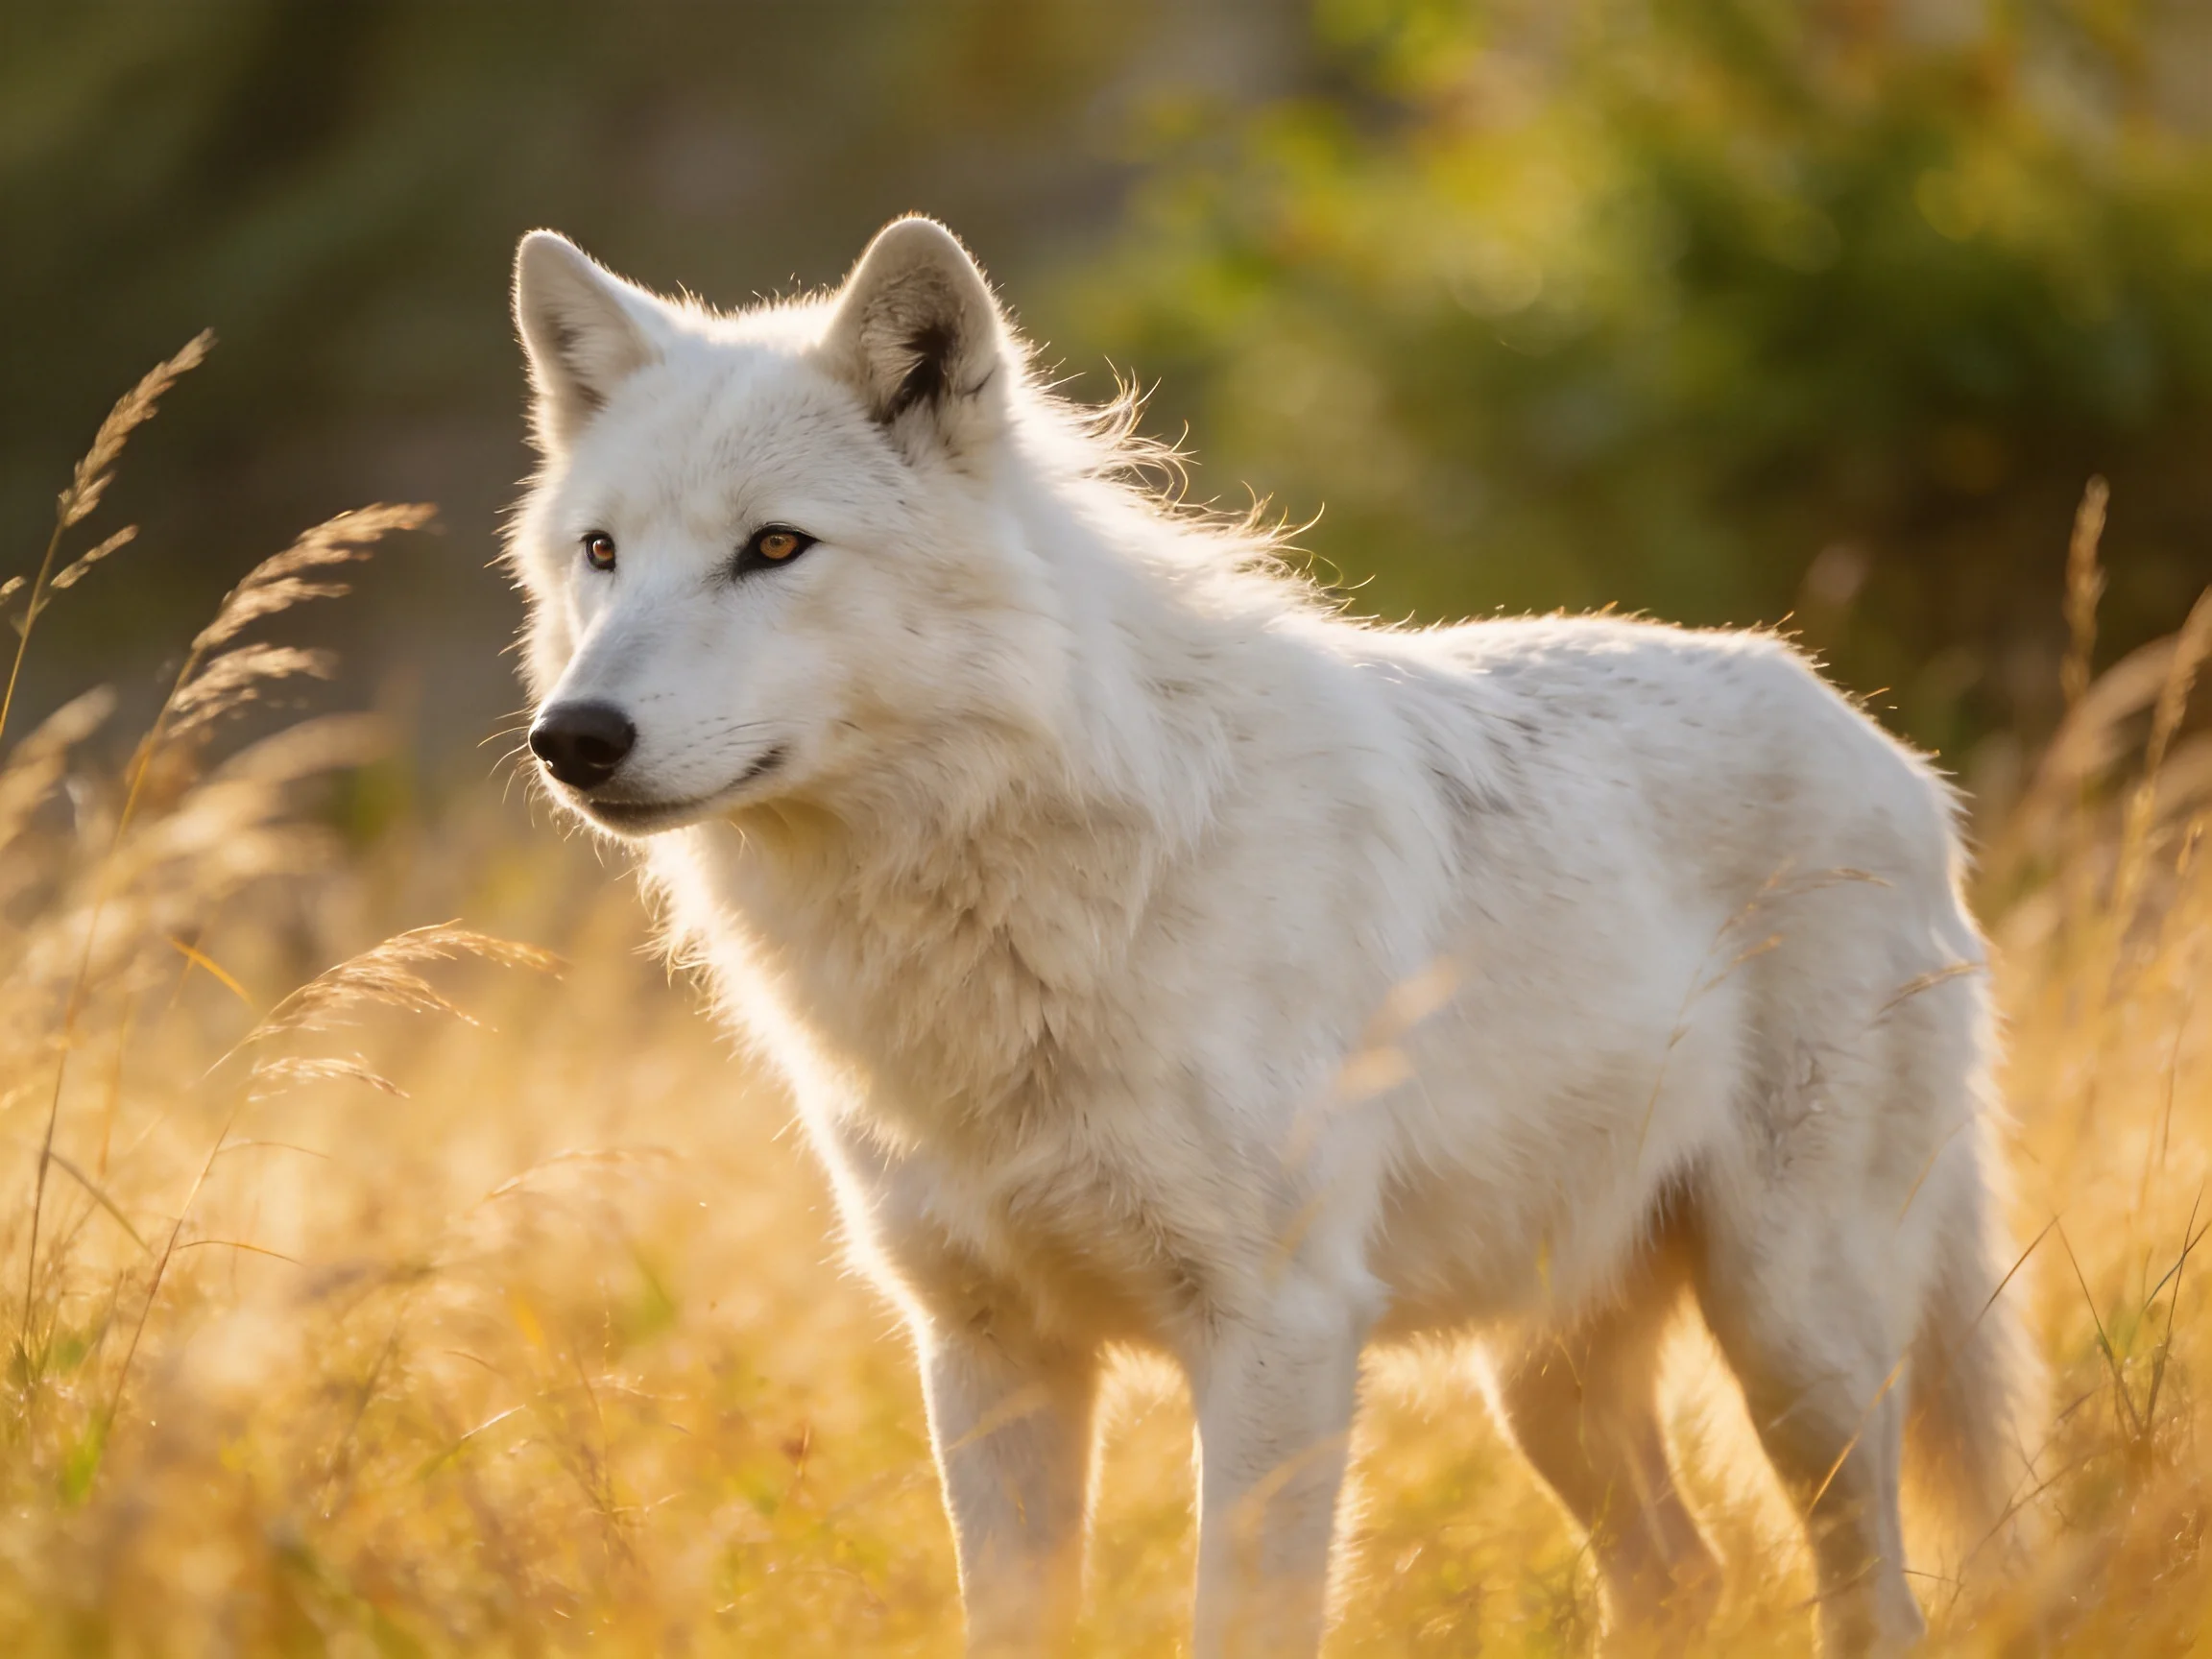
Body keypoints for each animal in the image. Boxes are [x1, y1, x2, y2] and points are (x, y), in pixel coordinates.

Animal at [505, 216, 2036, 1657]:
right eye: (603, 553)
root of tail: (1876, 737)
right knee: (1685, 1579)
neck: (1008, 902)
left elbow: (1240, 1618)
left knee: (1876, 1599)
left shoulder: (1279, 1333)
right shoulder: (985, 1347)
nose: (573, 738)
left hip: (1795, 1334)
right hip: (1546, 1385)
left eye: (774, 547)